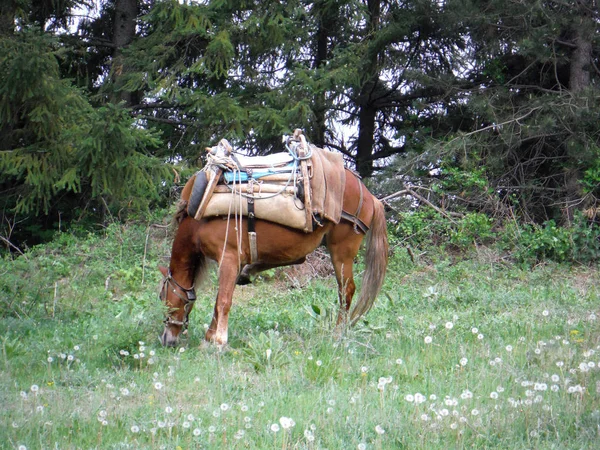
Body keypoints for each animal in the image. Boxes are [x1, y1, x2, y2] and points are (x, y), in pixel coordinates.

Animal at [157, 167, 390, 346]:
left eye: (164, 298)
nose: (166, 339)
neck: (200, 218)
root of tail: (371, 197)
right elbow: (221, 298)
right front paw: (211, 336)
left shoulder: (228, 257)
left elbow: (222, 301)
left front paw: (217, 340)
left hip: (341, 252)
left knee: (346, 291)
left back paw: (337, 334)